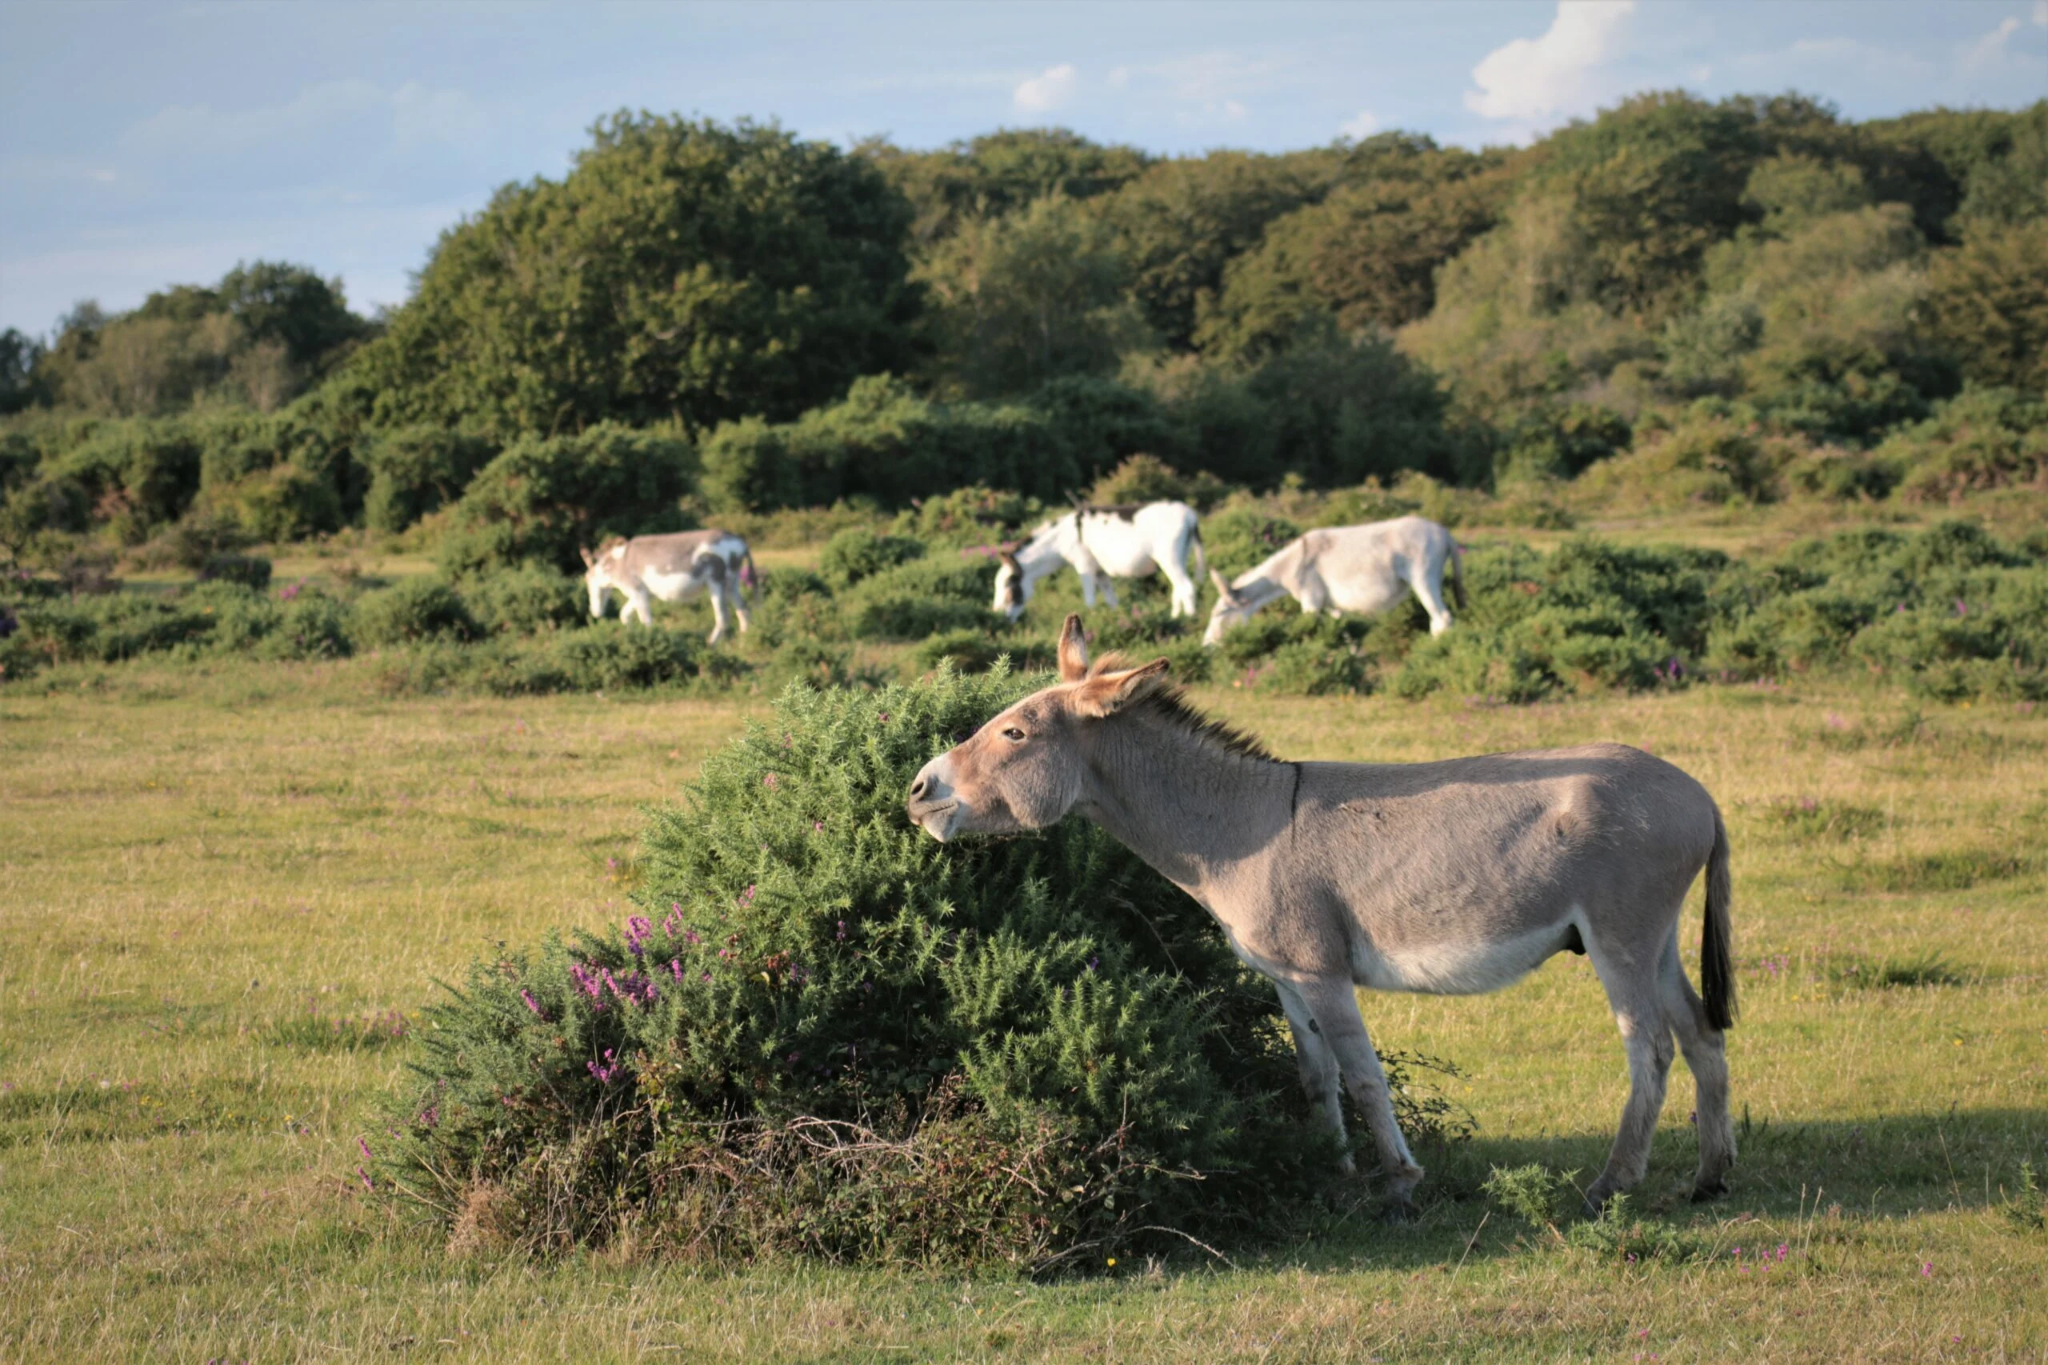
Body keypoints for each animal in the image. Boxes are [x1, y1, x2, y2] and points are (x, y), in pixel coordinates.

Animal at [579, 530, 755, 643]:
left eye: (588, 582)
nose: (595, 613)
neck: (619, 563)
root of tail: (740, 542)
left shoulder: (638, 592)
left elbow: (645, 620)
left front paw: (649, 641)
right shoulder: (643, 595)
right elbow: (624, 615)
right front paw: (632, 636)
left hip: (716, 584)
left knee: (723, 617)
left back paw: (711, 644)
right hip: (731, 584)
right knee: (743, 609)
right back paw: (744, 638)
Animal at [906, 615, 1736, 1217]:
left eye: (1015, 733)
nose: (918, 790)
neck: (1242, 824)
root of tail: (1700, 792)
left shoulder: (1322, 969)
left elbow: (1364, 1074)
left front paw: (1398, 1182)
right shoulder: (1283, 975)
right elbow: (1316, 1075)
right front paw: (1329, 1172)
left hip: (1619, 934)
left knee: (1650, 1047)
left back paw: (1611, 1185)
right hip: (1657, 937)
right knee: (1701, 1032)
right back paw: (1709, 1178)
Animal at [993, 502, 1207, 622]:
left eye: (1009, 584)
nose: (1000, 615)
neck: (1062, 536)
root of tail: (1190, 516)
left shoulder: (1084, 566)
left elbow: (1090, 601)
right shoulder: (1100, 571)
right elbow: (1112, 600)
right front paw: (1114, 618)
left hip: (1169, 558)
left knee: (1187, 587)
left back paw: (1190, 619)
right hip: (1178, 558)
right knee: (1178, 589)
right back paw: (1175, 617)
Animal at [1204, 515, 1464, 646]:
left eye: (1220, 613)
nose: (1205, 645)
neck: (1291, 565)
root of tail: (1445, 533)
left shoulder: (1310, 601)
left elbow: (1310, 630)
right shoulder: (1331, 606)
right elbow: (1343, 633)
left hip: (1423, 579)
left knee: (1442, 618)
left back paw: (1435, 652)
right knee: (1438, 620)